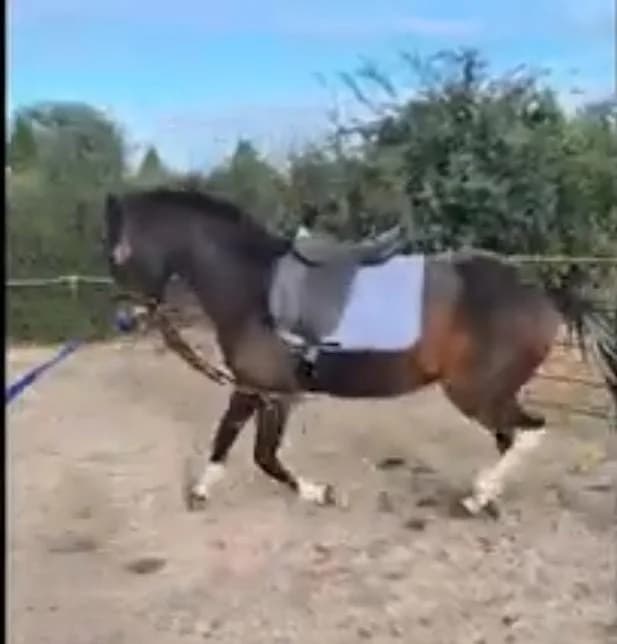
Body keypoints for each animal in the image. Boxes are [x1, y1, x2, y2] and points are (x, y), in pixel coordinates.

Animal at [103, 187, 617, 517]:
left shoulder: (268, 392)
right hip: (491, 393)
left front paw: (319, 493)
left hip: (475, 392)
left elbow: (260, 455)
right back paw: (487, 496)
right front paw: (201, 493)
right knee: (512, 438)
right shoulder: (261, 390)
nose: (125, 318)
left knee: (529, 433)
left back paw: (478, 495)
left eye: (119, 252)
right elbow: (229, 441)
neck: (256, 288)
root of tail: (544, 293)